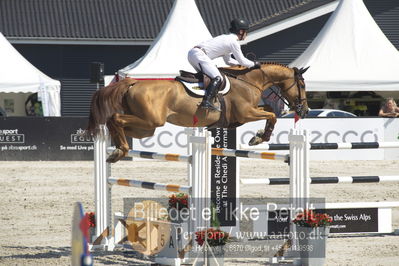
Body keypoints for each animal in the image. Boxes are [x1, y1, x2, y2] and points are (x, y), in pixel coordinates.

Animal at [89, 62, 310, 162]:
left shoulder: (248, 112)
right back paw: (120, 150)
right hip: (151, 121)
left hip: (146, 128)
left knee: (117, 123)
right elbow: (271, 114)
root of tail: (133, 82)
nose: (305, 110)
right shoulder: (246, 113)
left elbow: (270, 109)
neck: (249, 80)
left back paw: (117, 148)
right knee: (115, 118)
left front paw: (258, 135)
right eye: (301, 84)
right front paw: (259, 138)